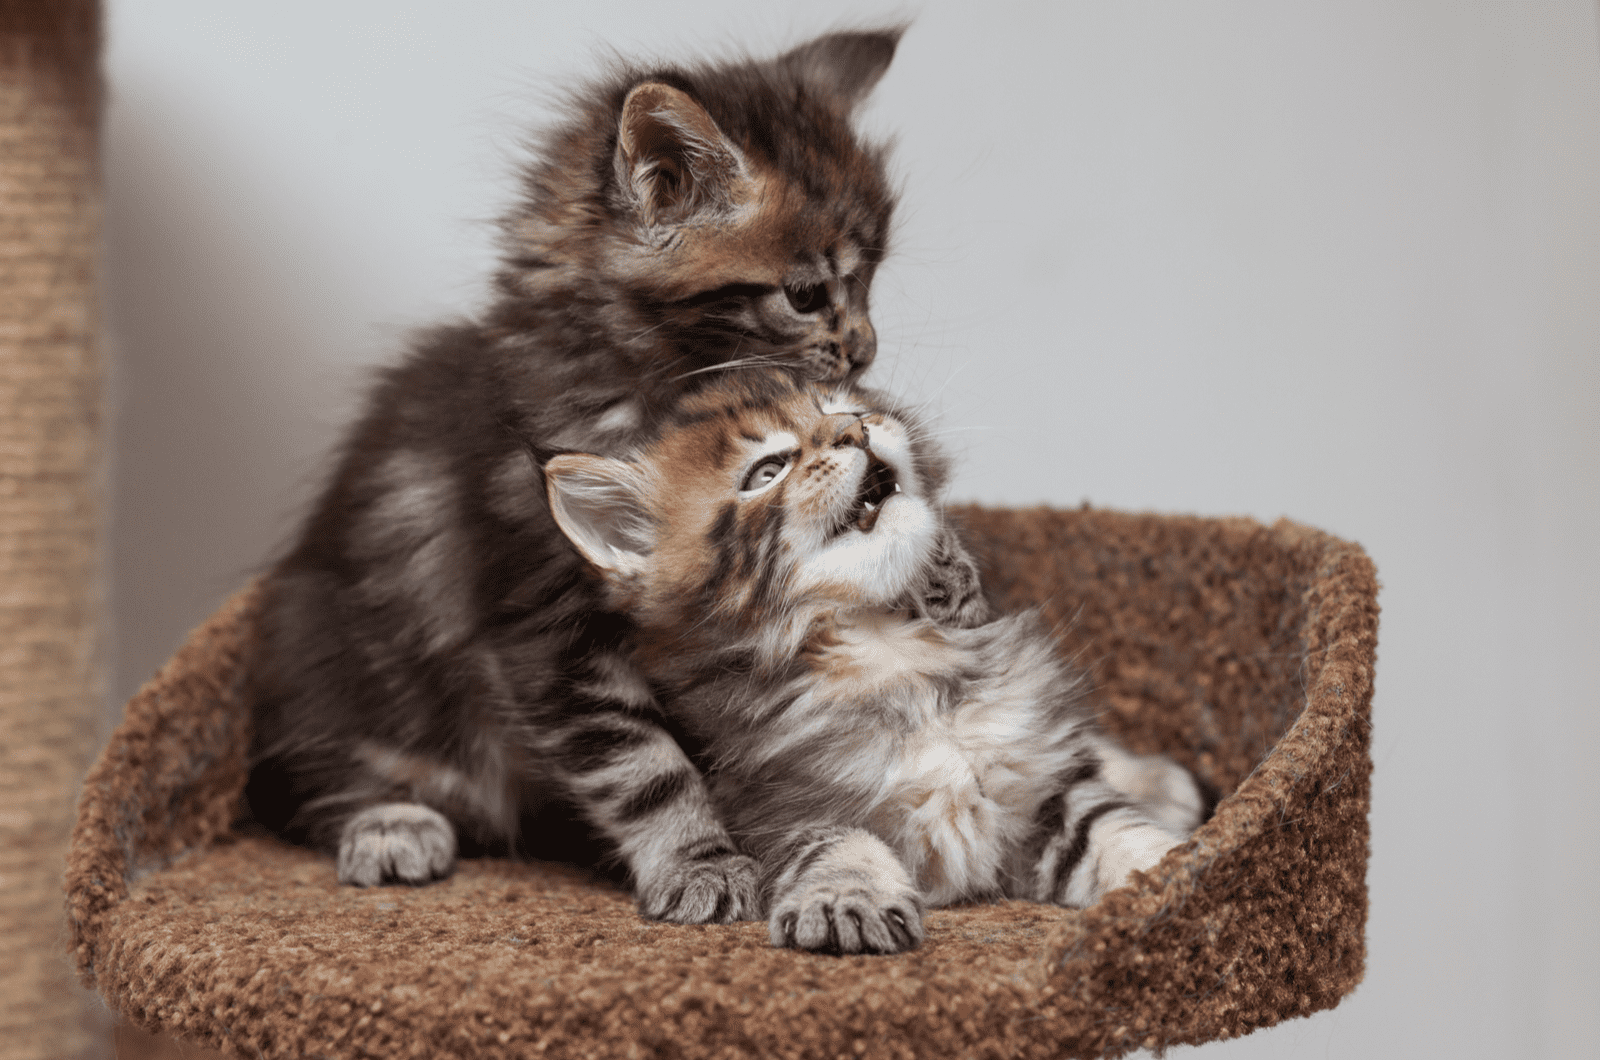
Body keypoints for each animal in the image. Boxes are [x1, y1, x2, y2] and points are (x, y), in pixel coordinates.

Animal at [243, 29, 985, 928]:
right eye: (807, 293)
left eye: (871, 279)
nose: (867, 350)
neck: (647, 389)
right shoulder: (546, 621)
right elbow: (644, 764)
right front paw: (701, 863)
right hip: (326, 654)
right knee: (320, 777)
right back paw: (390, 824)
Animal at [544, 371, 1203, 954]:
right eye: (767, 471)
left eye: (843, 407)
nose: (855, 430)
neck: (886, 647)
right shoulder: (771, 806)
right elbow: (836, 842)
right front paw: (847, 899)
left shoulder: (1044, 787)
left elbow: (1117, 829)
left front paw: (1182, 868)